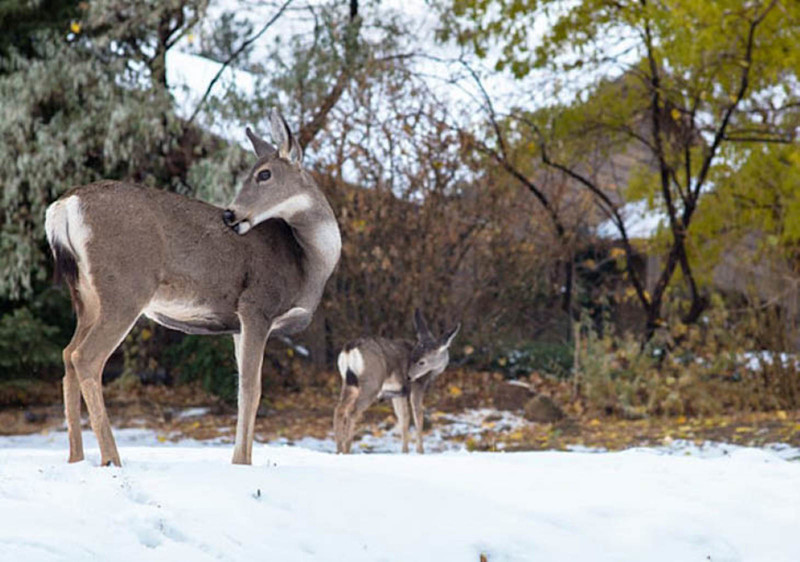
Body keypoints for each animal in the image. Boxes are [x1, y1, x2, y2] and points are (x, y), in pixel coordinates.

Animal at [46, 109, 340, 464]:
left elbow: (243, 390)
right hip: (126, 287)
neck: (307, 262)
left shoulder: (238, 325)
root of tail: (65, 205)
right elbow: (251, 389)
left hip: (86, 295)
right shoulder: (256, 305)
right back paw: (111, 459)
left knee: (66, 353)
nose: (230, 214)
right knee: (86, 357)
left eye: (264, 174)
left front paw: (238, 460)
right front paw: (243, 462)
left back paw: (76, 457)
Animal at [332, 308, 456, 452]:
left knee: (339, 409)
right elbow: (417, 416)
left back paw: (339, 449)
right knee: (352, 411)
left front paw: (405, 451)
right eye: (418, 361)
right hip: (372, 383)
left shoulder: (398, 392)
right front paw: (420, 451)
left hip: (349, 382)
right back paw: (347, 449)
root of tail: (349, 348)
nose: (408, 376)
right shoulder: (416, 386)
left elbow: (403, 418)